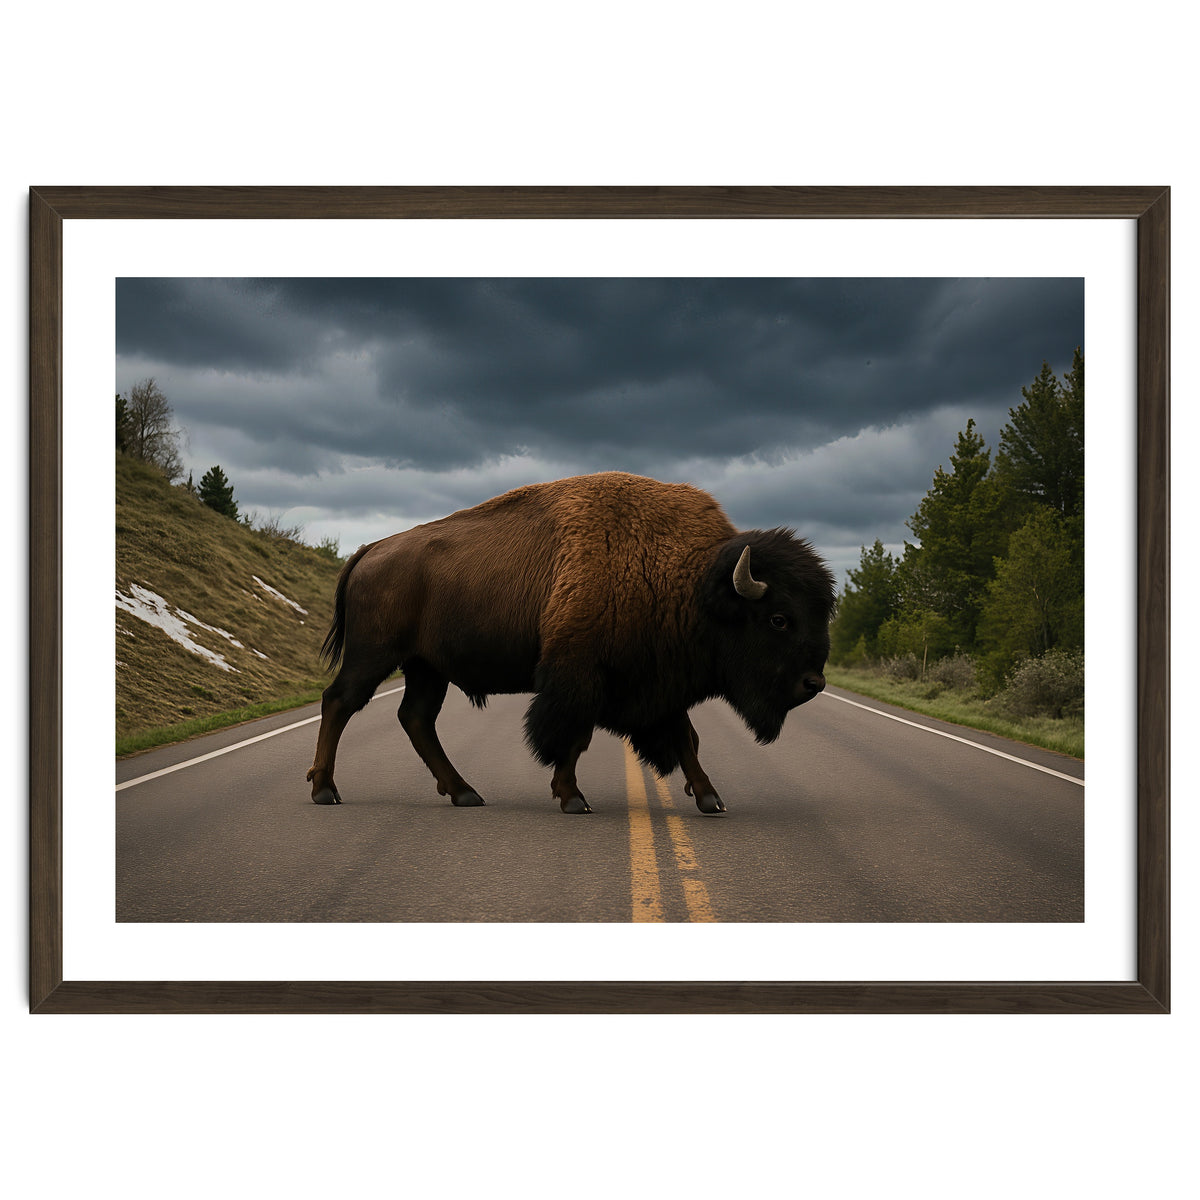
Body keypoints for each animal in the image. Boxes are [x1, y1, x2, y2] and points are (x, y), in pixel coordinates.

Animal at [307, 472, 836, 814]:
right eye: (779, 619)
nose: (814, 683)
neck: (691, 581)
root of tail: (371, 549)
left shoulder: (656, 684)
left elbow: (685, 737)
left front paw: (710, 798)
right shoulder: (581, 676)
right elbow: (573, 736)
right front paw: (572, 797)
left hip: (425, 668)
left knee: (416, 718)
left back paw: (464, 793)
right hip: (375, 655)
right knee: (339, 702)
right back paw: (325, 791)